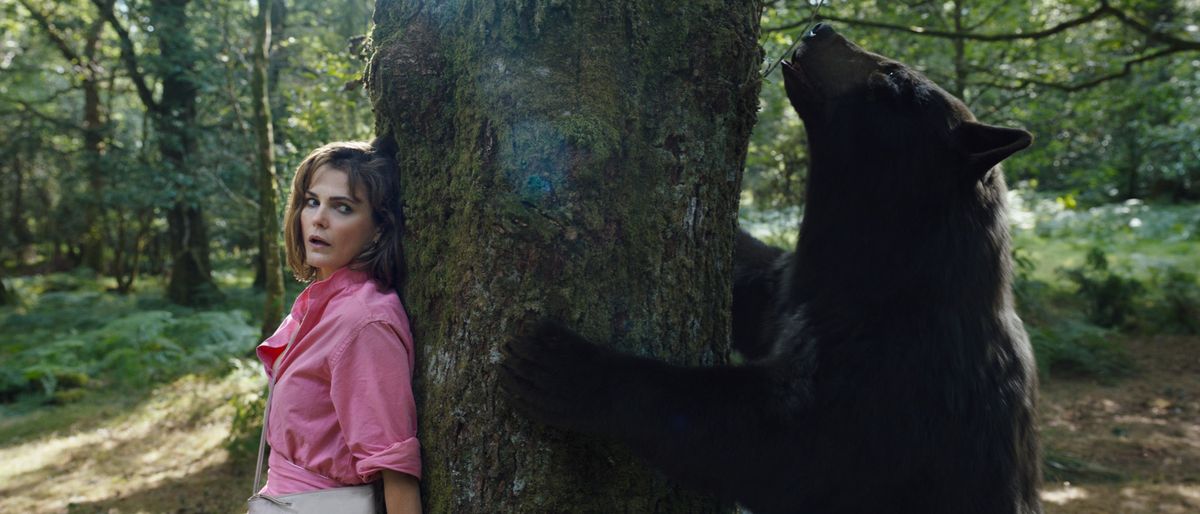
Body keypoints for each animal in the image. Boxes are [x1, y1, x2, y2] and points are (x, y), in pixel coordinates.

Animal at [499, 24, 1041, 514]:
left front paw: (570, 368)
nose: (820, 27)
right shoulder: (795, 288)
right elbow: (755, 287)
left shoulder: (896, 381)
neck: (883, 274)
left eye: (892, 77)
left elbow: (776, 446)